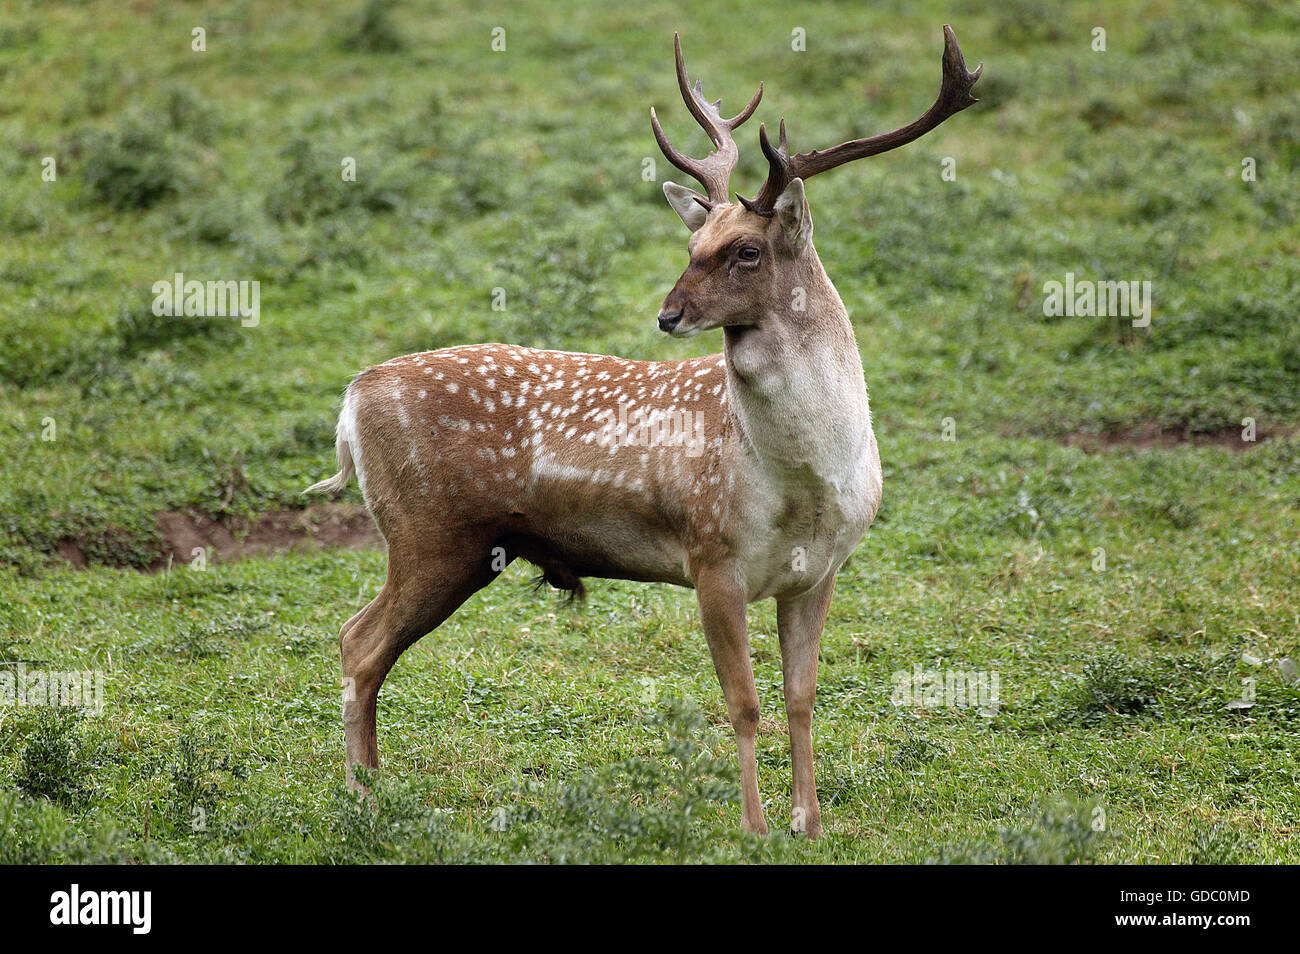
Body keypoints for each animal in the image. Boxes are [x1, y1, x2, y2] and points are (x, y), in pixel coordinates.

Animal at [306, 26, 977, 842]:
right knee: (358, 642)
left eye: (746, 251)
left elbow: (801, 697)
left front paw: (808, 822)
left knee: (362, 643)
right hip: (431, 533)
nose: (668, 314)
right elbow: (744, 703)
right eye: (691, 249)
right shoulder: (710, 554)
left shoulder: (820, 571)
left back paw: (371, 792)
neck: (804, 480)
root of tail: (351, 400)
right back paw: (365, 801)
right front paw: (753, 828)